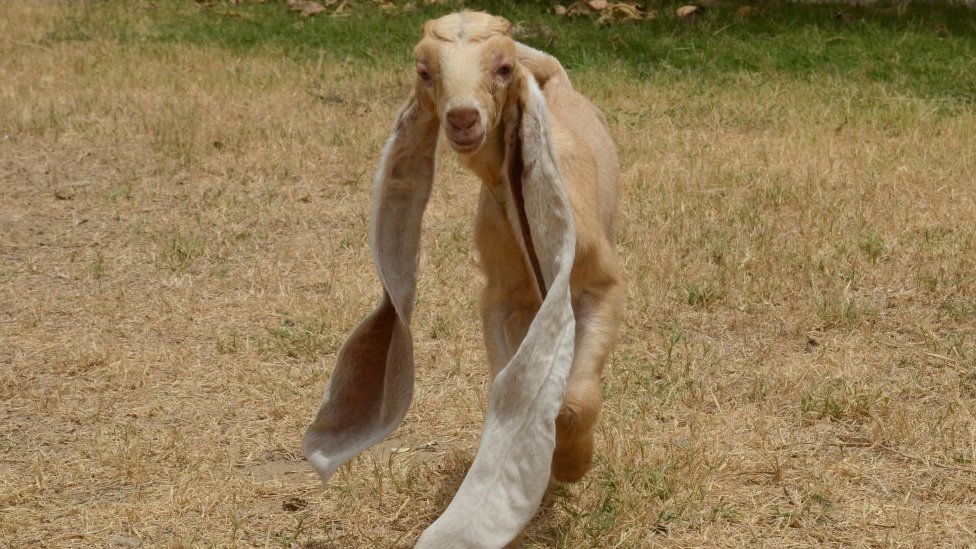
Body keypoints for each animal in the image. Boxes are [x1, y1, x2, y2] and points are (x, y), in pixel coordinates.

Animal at [304, 10, 624, 544]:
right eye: (425, 71)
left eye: (502, 67)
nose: (463, 118)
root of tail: (558, 82)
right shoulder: (499, 296)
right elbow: (506, 372)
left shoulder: (601, 284)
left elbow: (575, 399)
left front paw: (572, 465)